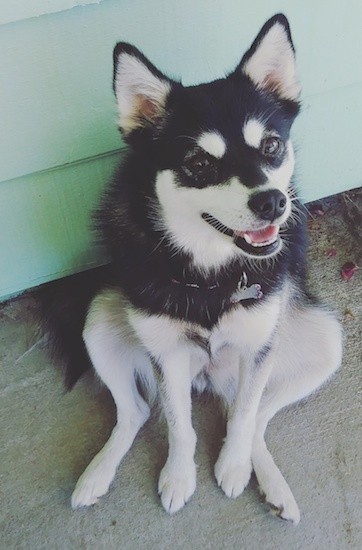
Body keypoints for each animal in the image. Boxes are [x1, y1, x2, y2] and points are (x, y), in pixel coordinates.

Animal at [43, 15, 342, 528]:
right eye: (200, 163)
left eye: (271, 145)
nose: (272, 202)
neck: (211, 273)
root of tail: (211, 379)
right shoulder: (166, 353)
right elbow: (180, 425)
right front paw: (178, 478)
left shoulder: (259, 346)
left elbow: (243, 418)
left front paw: (233, 467)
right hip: (101, 316)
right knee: (136, 412)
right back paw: (96, 475)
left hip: (324, 341)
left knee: (256, 416)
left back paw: (270, 483)